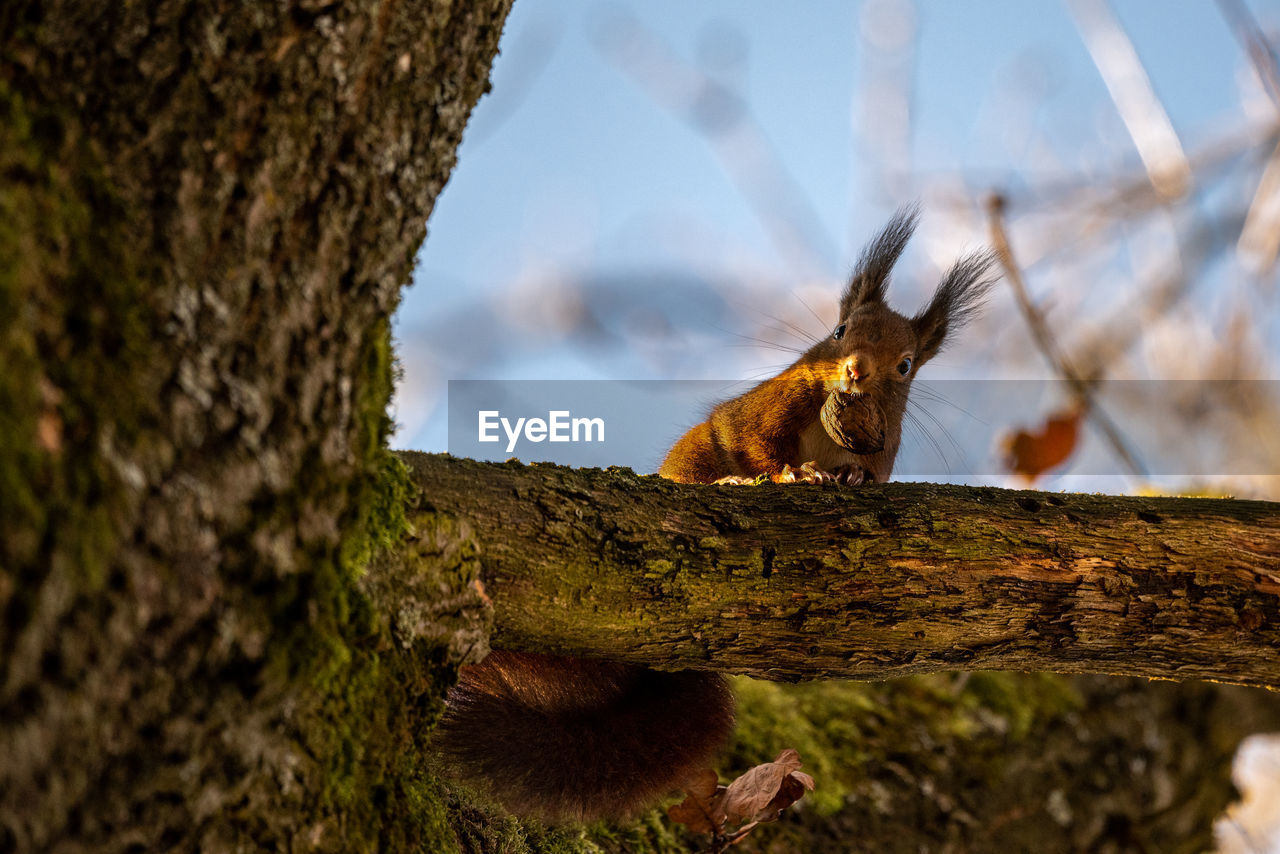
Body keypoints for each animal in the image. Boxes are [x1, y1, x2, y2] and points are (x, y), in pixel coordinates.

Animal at [435, 204, 993, 819]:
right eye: (840, 331)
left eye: (906, 364)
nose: (854, 370)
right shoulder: (773, 405)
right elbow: (755, 442)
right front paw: (791, 473)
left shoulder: (883, 448)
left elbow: (870, 476)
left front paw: (847, 476)